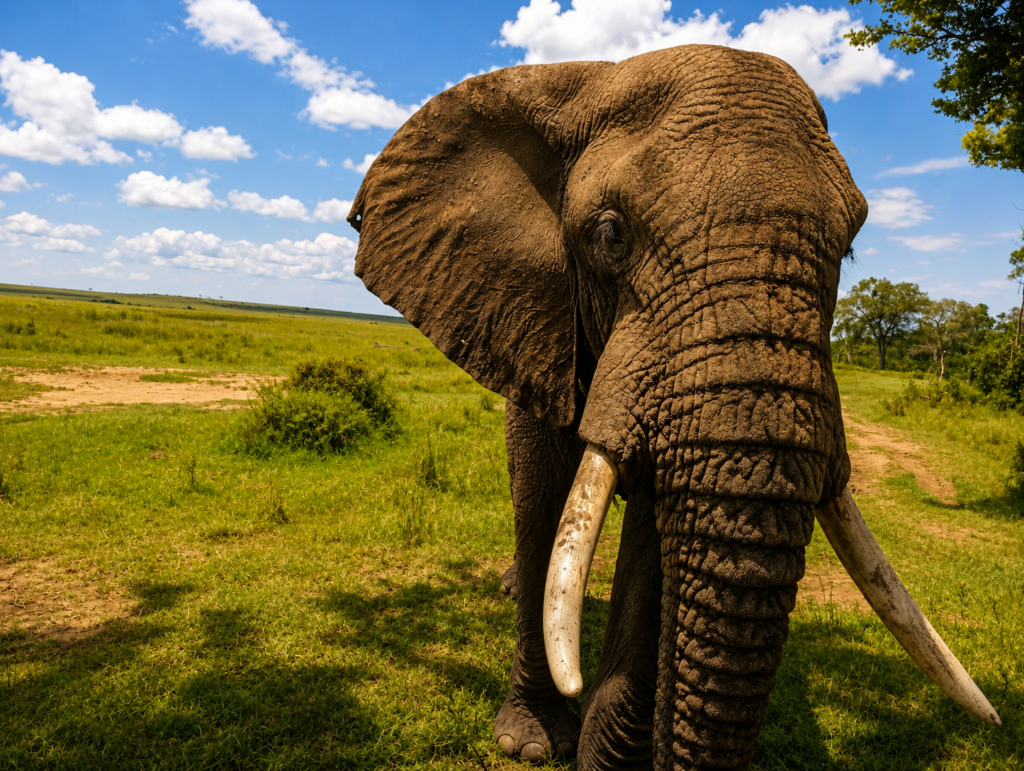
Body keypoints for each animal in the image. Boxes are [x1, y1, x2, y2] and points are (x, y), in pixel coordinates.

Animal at [346, 45, 999, 770]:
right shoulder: (531, 307)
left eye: (850, 246)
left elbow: (653, 540)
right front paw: (532, 740)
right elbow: (543, 489)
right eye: (610, 235)